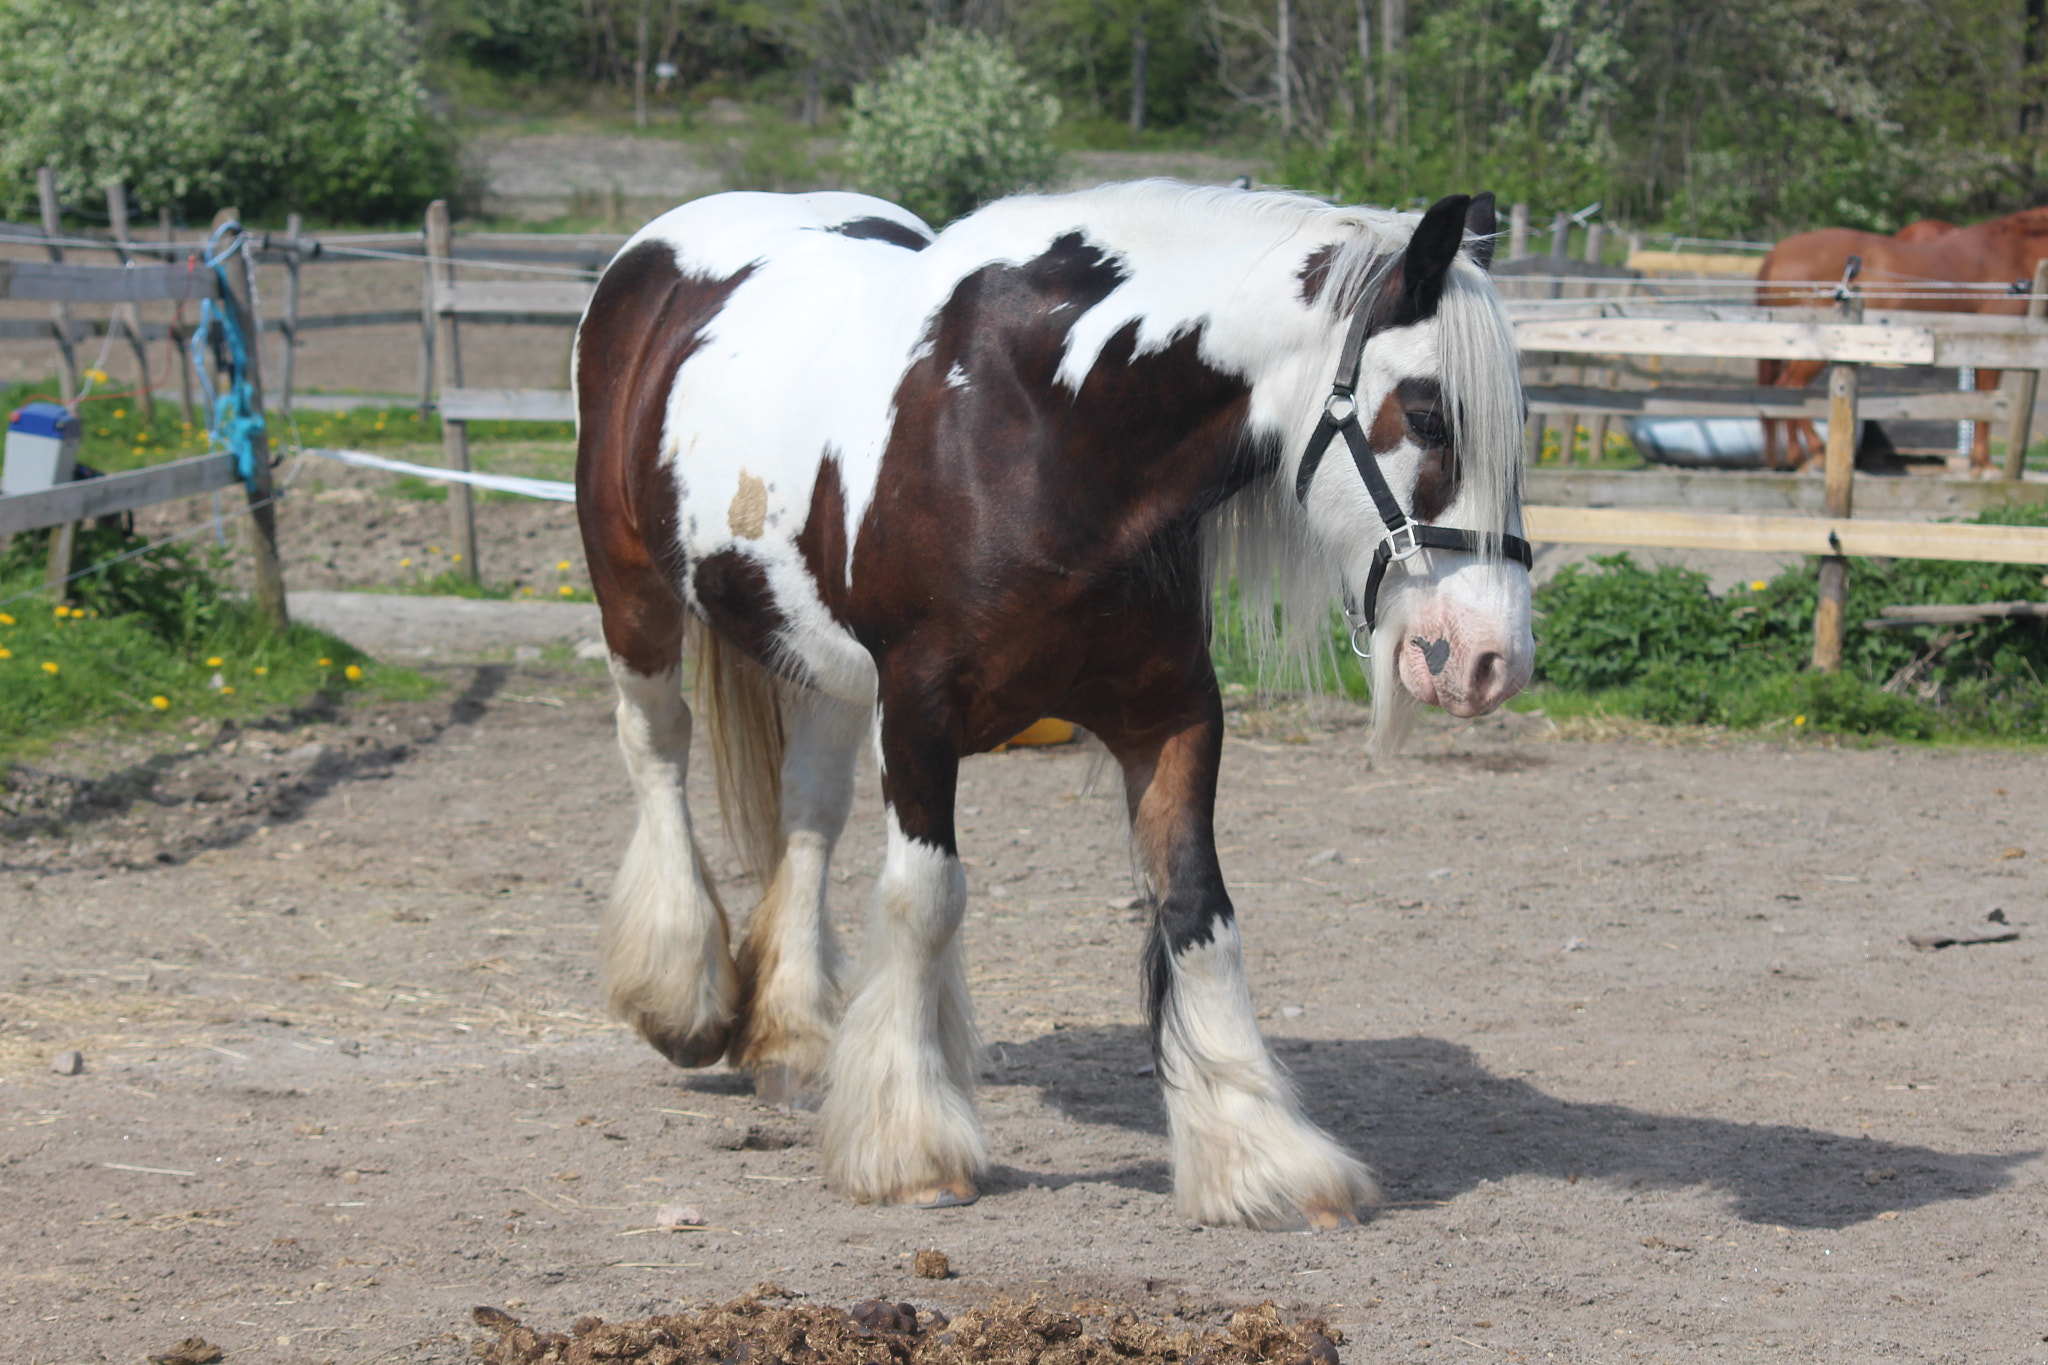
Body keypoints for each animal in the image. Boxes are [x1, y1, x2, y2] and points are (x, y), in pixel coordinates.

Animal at [572, 180, 1536, 1230]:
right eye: (1428, 414)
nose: (1493, 658)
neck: (1047, 428)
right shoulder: (917, 710)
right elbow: (925, 898)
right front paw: (911, 1146)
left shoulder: (1170, 713)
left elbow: (1198, 909)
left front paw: (1259, 1156)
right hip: (634, 598)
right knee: (657, 751)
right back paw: (683, 997)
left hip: (820, 660)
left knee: (809, 811)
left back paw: (791, 1038)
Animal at [1756, 209, 2048, 471]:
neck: (2011, 251)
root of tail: (1777, 252)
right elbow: (1986, 402)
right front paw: (1984, 464)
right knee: (1790, 385)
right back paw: (1814, 454)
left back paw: (1798, 456)